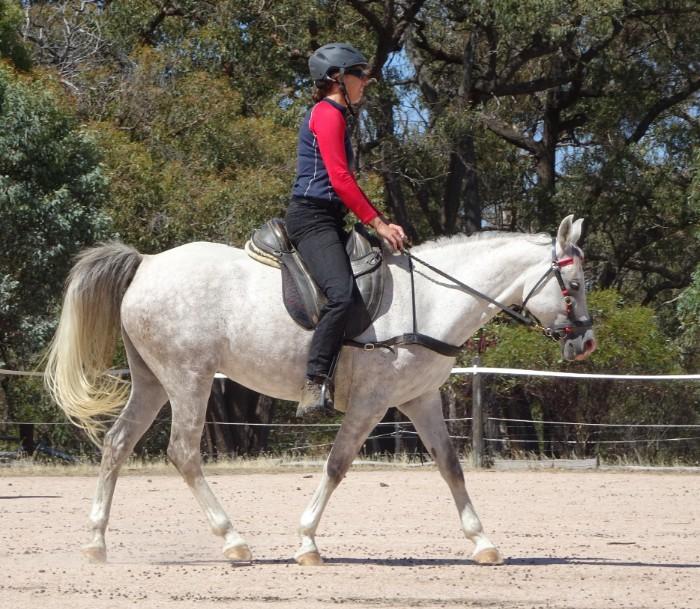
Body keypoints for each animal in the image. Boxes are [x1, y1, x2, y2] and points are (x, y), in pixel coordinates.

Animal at [45, 214, 596, 566]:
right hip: (189, 379)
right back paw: (233, 541)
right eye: (575, 284)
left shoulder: (419, 400)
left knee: (117, 443)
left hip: (153, 381)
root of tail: (148, 263)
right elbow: (337, 465)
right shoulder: (372, 403)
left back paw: (96, 543)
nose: (586, 342)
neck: (430, 299)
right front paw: (307, 542)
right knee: (182, 453)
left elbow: (451, 467)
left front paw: (482, 542)